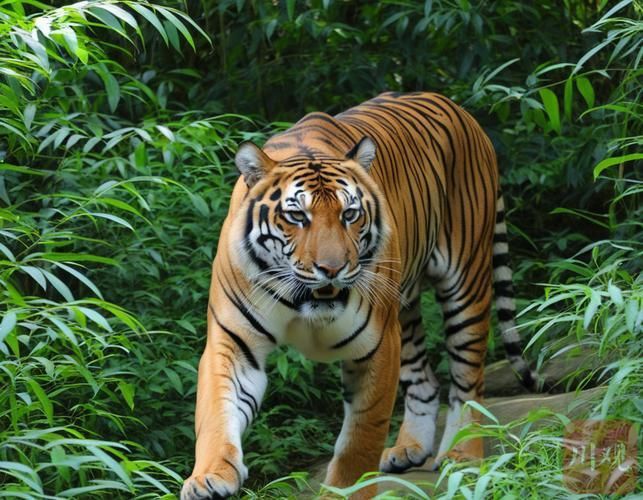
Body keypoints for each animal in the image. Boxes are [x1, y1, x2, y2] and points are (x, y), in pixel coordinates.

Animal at [181, 91, 535, 499]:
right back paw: (409, 448)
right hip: (405, 309)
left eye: (350, 214)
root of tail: (457, 108)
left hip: (465, 281)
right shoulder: (233, 341)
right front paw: (209, 477)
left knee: (468, 380)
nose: (331, 269)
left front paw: (345, 490)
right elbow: (215, 412)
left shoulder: (377, 345)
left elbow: (360, 439)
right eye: (297, 216)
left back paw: (462, 454)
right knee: (425, 379)